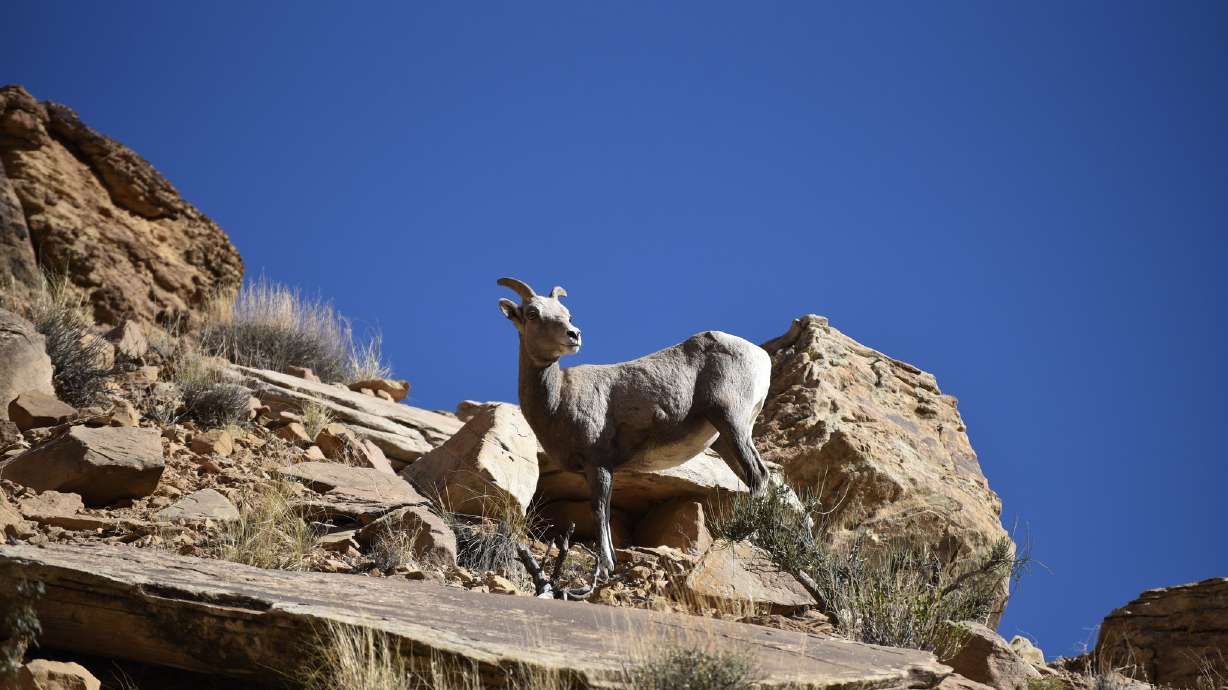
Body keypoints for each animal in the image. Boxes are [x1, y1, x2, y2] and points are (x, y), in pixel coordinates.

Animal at [496, 277, 772, 578]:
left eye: (567, 314)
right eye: (533, 314)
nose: (574, 335)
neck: (558, 397)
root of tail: (761, 356)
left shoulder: (598, 464)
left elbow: (598, 510)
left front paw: (605, 566)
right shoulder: (603, 469)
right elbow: (605, 513)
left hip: (731, 422)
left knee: (759, 476)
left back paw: (748, 535)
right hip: (724, 439)